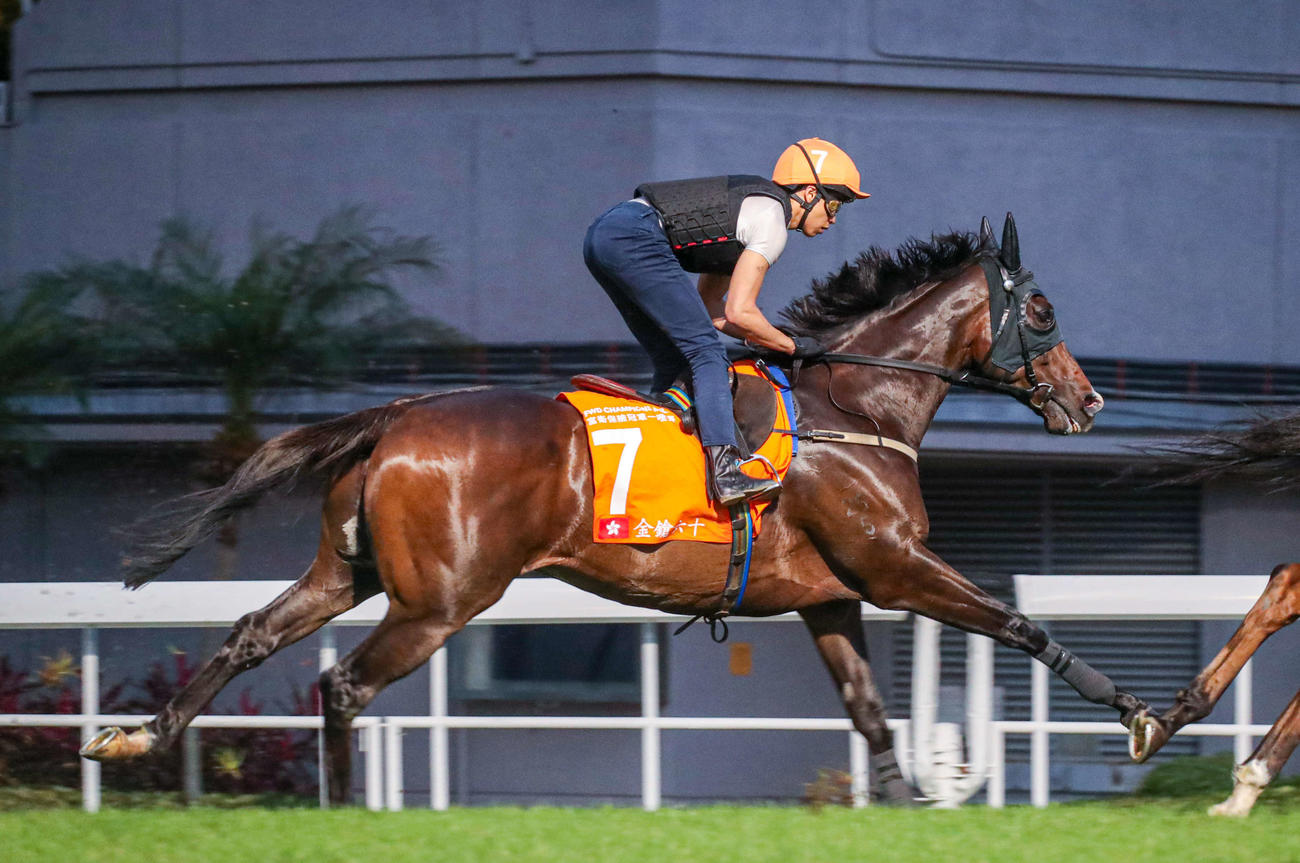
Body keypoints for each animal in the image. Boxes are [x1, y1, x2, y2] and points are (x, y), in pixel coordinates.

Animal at [81, 213, 1146, 805]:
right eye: (1042, 310)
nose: (1091, 400)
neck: (857, 409)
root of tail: (397, 414)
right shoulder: (895, 567)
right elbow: (1019, 622)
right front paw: (1138, 713)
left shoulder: (831, 594)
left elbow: (870, 710)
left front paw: (899, 798)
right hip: (441, 599)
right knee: (342, 686)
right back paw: (342, 814)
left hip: (350, 571)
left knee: (254, 632)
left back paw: (138, 734)